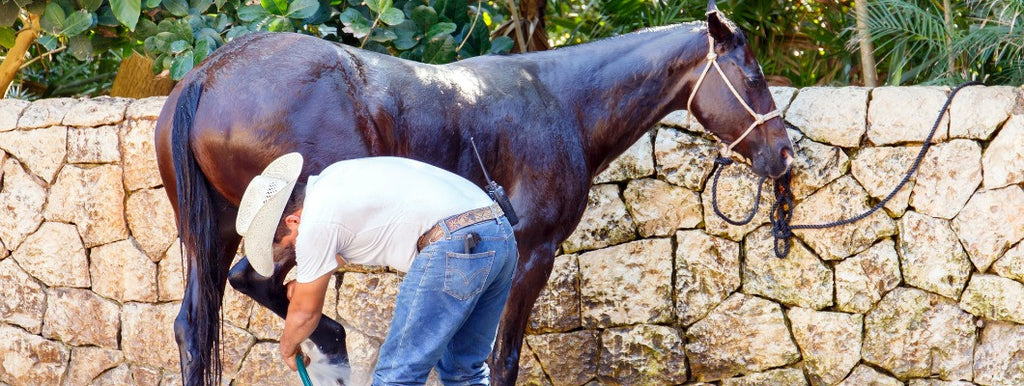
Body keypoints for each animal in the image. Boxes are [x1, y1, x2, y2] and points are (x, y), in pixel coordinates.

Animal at [151, 1, 794, 382]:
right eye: (753, 77)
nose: (784, 156)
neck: (560, 102)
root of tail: (208, 74)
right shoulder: (533, 252)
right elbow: (501, 359)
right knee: (250, 287)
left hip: (213, 232)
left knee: (194, 326)